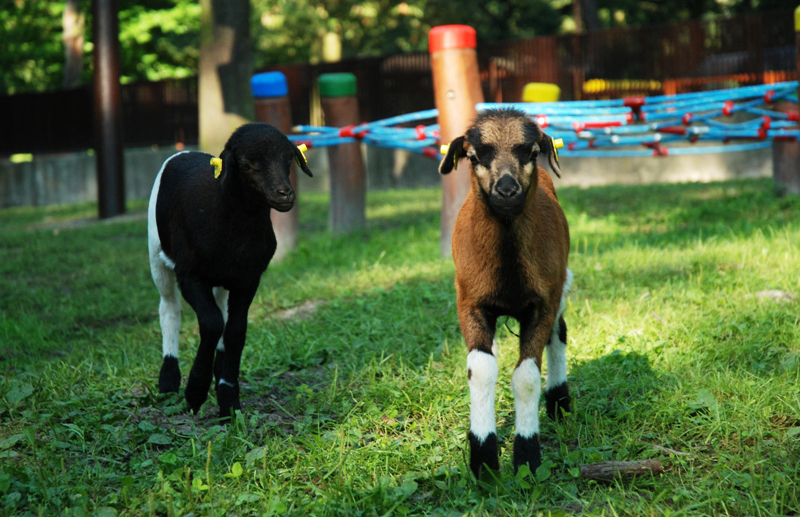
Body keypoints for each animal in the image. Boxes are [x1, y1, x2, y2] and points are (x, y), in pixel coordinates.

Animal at [147, 122, 313, 418]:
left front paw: (228, 398)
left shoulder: (248, 278)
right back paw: (168, 379)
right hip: (157, 254)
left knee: (222, 314)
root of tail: (186, 151)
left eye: (287, 160)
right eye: (246, 165)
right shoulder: (189, 274)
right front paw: (195, 392)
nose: (285, 194)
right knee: (169, 308)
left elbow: (235, 330)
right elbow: (212, 322)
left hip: (224, 279)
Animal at [439, 108, 572, 479]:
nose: (507, 189)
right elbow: (481, 371)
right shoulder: (470, 304)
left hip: (559, 287)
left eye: (530, 152)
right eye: (474, 156)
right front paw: (483, 459)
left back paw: (560, 403)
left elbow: (526, 378)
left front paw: (527, 457)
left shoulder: (542, 304)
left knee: (559, 334)